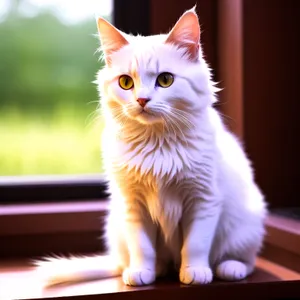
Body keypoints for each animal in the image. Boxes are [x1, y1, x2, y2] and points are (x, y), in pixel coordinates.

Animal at [35, 8, 268, 288]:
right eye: (125, 82)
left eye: (165, 80)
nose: (142, 100)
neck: (157, 144)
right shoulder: (132, 204)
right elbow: (142, 247)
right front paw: (141, 272)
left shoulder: (204, 199)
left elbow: (195, 245)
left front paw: (195, 272)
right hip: (116, 225)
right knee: (138, 260)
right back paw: (152, 269)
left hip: (246, 226)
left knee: (246, 260)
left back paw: (229, 268)